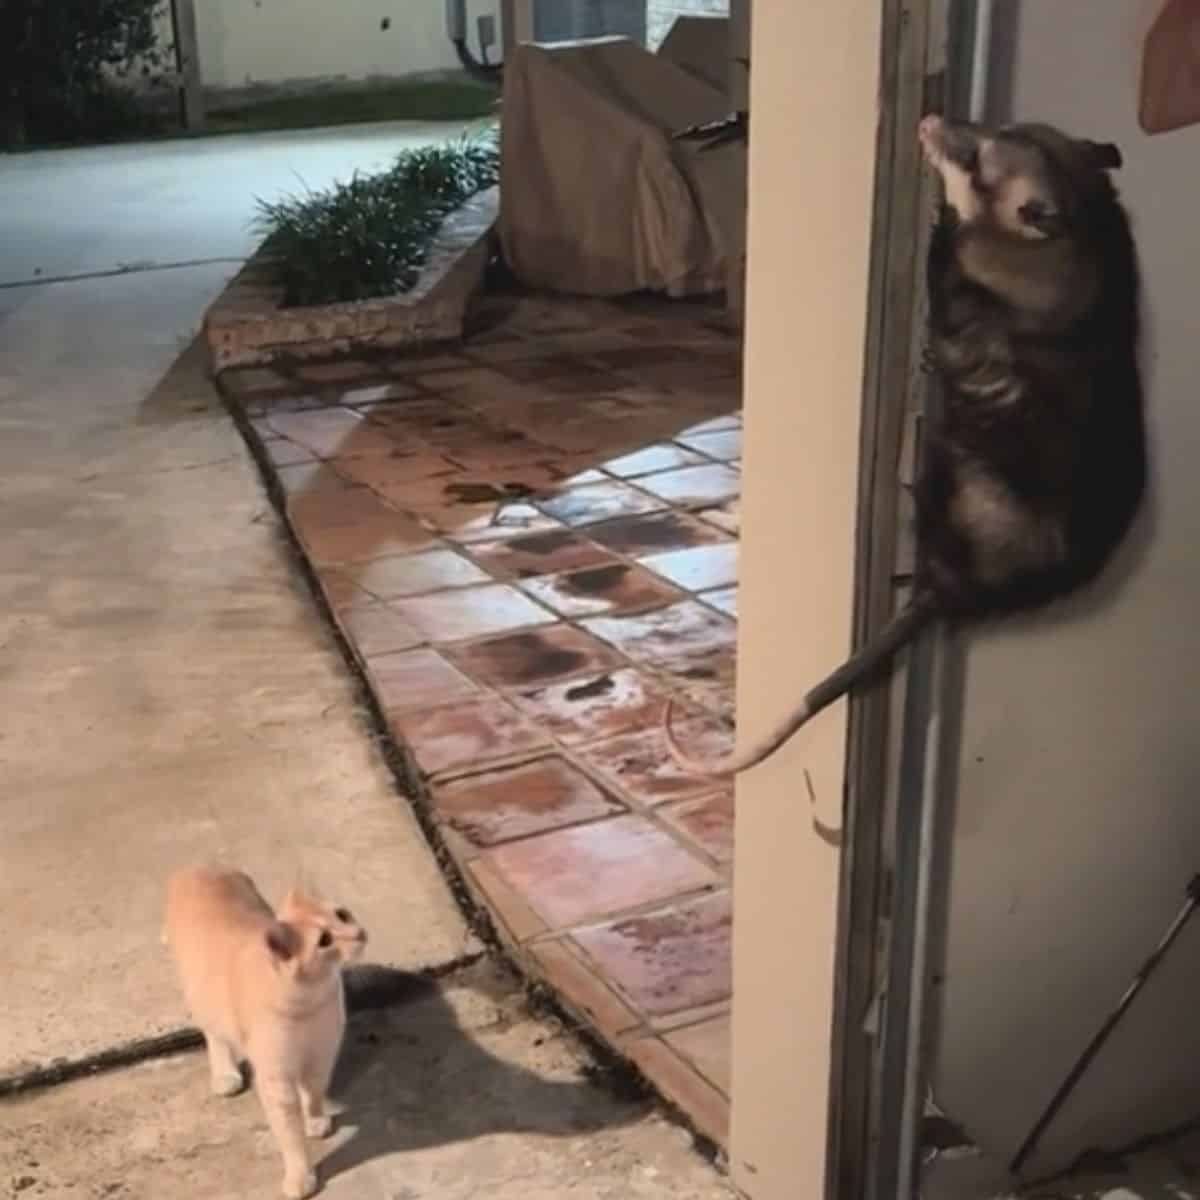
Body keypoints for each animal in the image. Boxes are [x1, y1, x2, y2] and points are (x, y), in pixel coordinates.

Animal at [162, 868, 364, 1195]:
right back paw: (225, 1073)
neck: (310, 1001)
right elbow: (290, 1134)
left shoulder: (321, 1055)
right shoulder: (276, 1080)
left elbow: (314, 1091)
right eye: (324, 940)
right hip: (201, 996)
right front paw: (300, 1175)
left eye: (342, 915)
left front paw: (315, 1118)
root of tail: (198, 866)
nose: (358, 933)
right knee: (214, 1036)